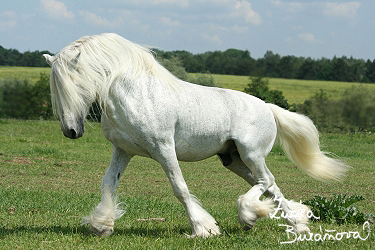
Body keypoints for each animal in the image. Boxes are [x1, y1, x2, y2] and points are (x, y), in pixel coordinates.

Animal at [44, 33, 350, 238]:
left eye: (75, 85)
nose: (71, 131)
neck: (136, 93)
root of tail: (267, 107)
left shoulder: (163, 148)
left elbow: (179, 188)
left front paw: (204, 228)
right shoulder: (123, 150)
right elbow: (108, 183)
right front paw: (102, 224)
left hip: (252, 154)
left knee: (266, 181)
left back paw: (249, 215)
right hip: (233, 159)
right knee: (269, 186)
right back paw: (295, 224)